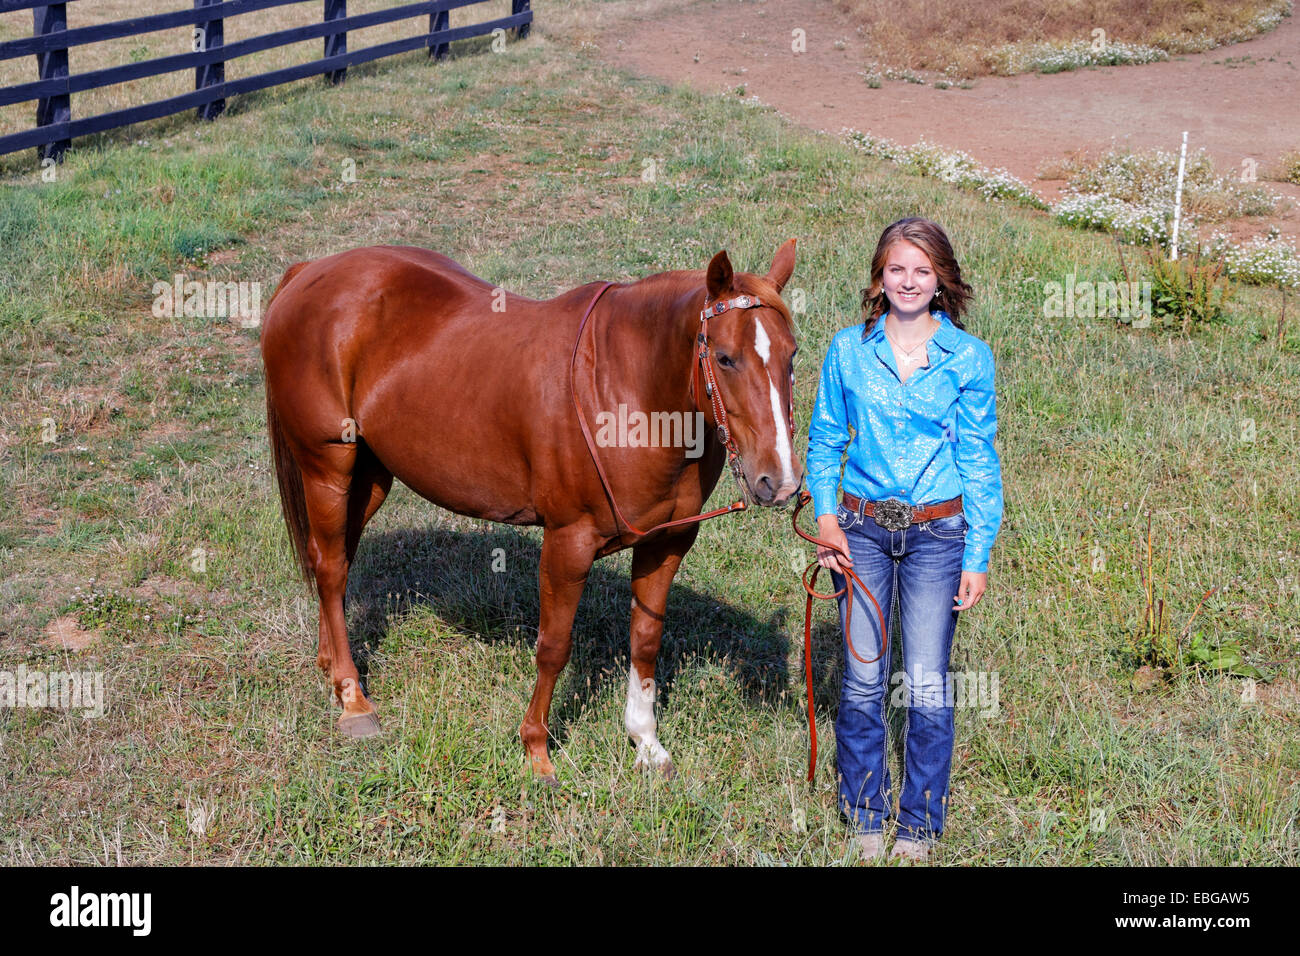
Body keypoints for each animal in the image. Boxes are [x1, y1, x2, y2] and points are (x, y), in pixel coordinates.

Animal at [261, 240, 800, 785]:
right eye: (725, 358)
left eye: (792, 355)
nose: (779, 482)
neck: (628, 390)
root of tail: (309, 272)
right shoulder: (568, 543)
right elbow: (554, 647)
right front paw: (536, 750)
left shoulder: (667, 542)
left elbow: (646, 639)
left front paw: (646, 743)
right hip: (328, 468)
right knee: (330, 568)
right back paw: (353, 700)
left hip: (370, 475)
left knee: (334, 560)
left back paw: (331, 666)